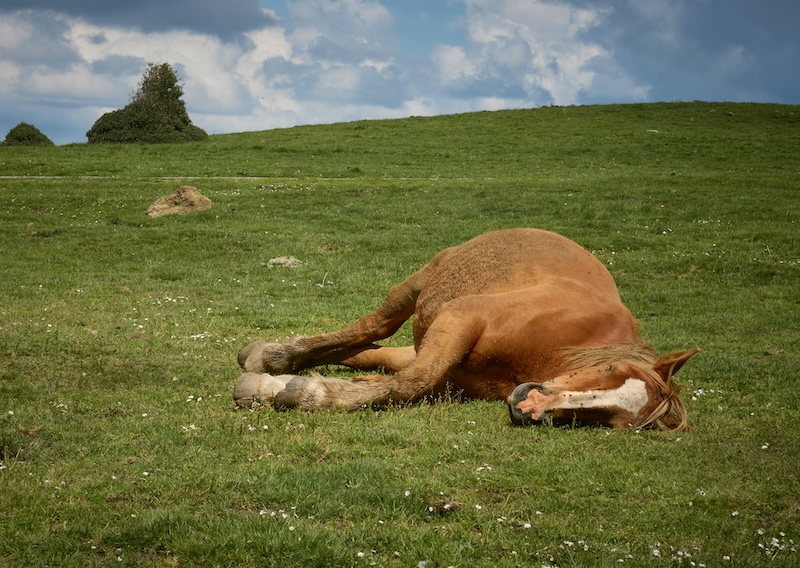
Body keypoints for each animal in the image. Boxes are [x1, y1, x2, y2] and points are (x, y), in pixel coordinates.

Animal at [234, 228, 698, 430]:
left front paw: (284, 387)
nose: (530, 405)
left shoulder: (448, 367)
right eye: (612, 371)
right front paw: (305, 393)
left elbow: (399, 377)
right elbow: (412, 381)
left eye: (616, 421)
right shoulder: (462, 317)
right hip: (417, 289)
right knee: (372, 326)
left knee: (366, 348)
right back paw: (273, 357)